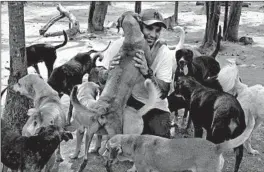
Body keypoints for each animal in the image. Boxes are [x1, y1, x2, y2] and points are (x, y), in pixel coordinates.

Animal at [69, 11, 161, 171]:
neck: (131, 38)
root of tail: (102, 110)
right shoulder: (148, 57)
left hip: (90, 133)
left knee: (86, 157)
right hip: (115, 134)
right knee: (110, 158)